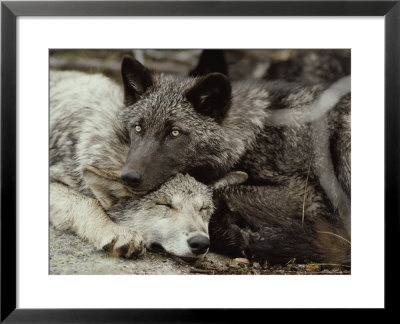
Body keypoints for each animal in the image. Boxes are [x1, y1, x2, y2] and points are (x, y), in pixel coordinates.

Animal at [49, 69, 247, 260]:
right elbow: (89, 202)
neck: (122, 153)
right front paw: (118, 232)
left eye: (203, 208)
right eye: (165, 205)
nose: (200, 242)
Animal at [118, 55, 350, 266]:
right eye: (138, 128)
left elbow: (220, 191)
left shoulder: (308, 196)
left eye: (174, 132)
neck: (254, 133)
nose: (128, 177)